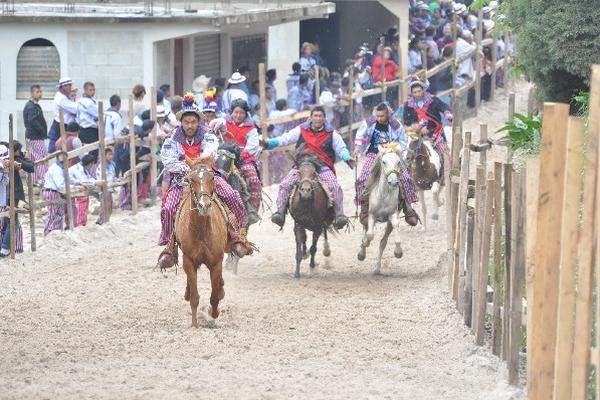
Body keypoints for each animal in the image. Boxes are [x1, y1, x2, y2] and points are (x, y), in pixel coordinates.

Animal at [176, 157, 230, 328]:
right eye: (191, 180)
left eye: (211, 178)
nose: (204, 205)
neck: (201, 231)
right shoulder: (189, 261)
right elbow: (195, 297)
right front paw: (194, 324)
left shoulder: (216, 262)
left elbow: (214, 297)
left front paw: (214, 315)